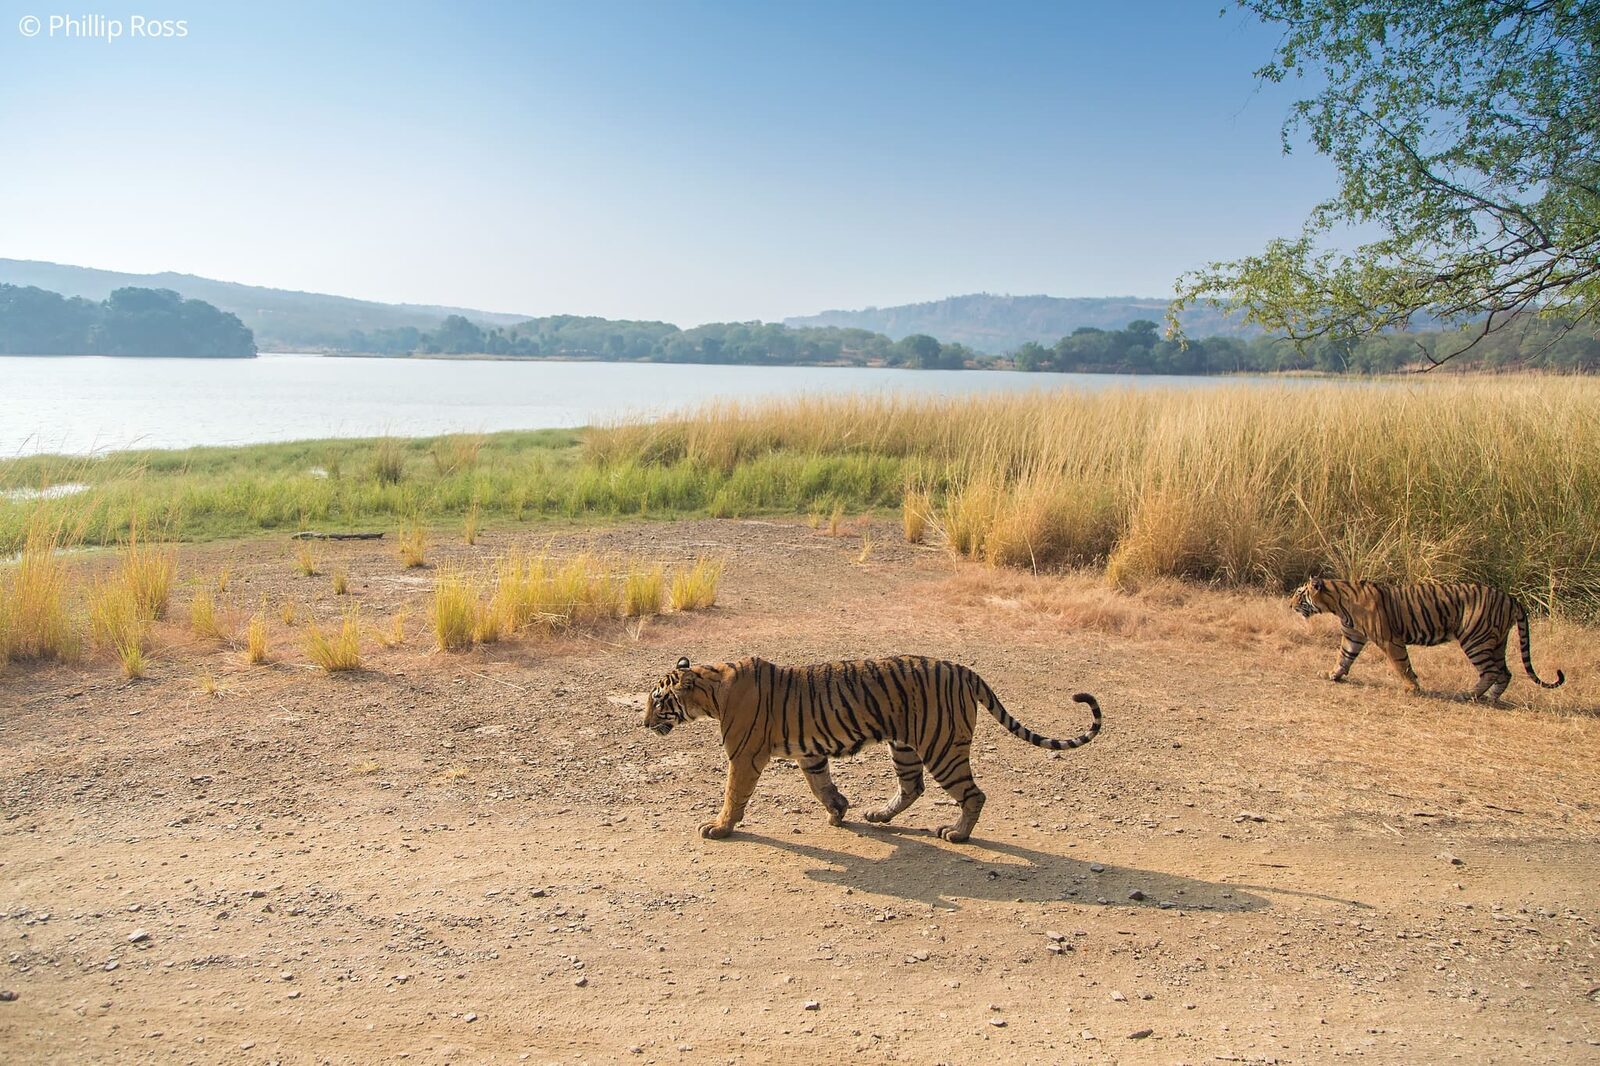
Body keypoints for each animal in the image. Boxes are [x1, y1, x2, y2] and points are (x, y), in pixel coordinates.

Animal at [643, 654, 1102, 843]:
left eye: (657, 700)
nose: (643, 724)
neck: (710, 690)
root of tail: (964, 669)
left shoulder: (744, 756)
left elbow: (732, 795)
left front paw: (719, 828)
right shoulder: (810, 754)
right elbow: (821, 786)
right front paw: (839, 811)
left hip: (942, 748)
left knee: (974, 794)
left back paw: (957, 834)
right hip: (905, 745)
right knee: (912, 787)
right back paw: (878, 815)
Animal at [1289, 577, 1565, 702]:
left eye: (1299, 594)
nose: (1290, 605)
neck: (1338, 603)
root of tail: (1511, 598)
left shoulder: (1390, 640)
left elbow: (1402, 665)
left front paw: (1412, 688)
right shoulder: (1353, 636)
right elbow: (1344, 658)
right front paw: (1332, 675)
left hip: (1475, 640)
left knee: (1491, 672)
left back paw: (1468, 695)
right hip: (1496, 642)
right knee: (1505, 673)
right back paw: (1490, 698)